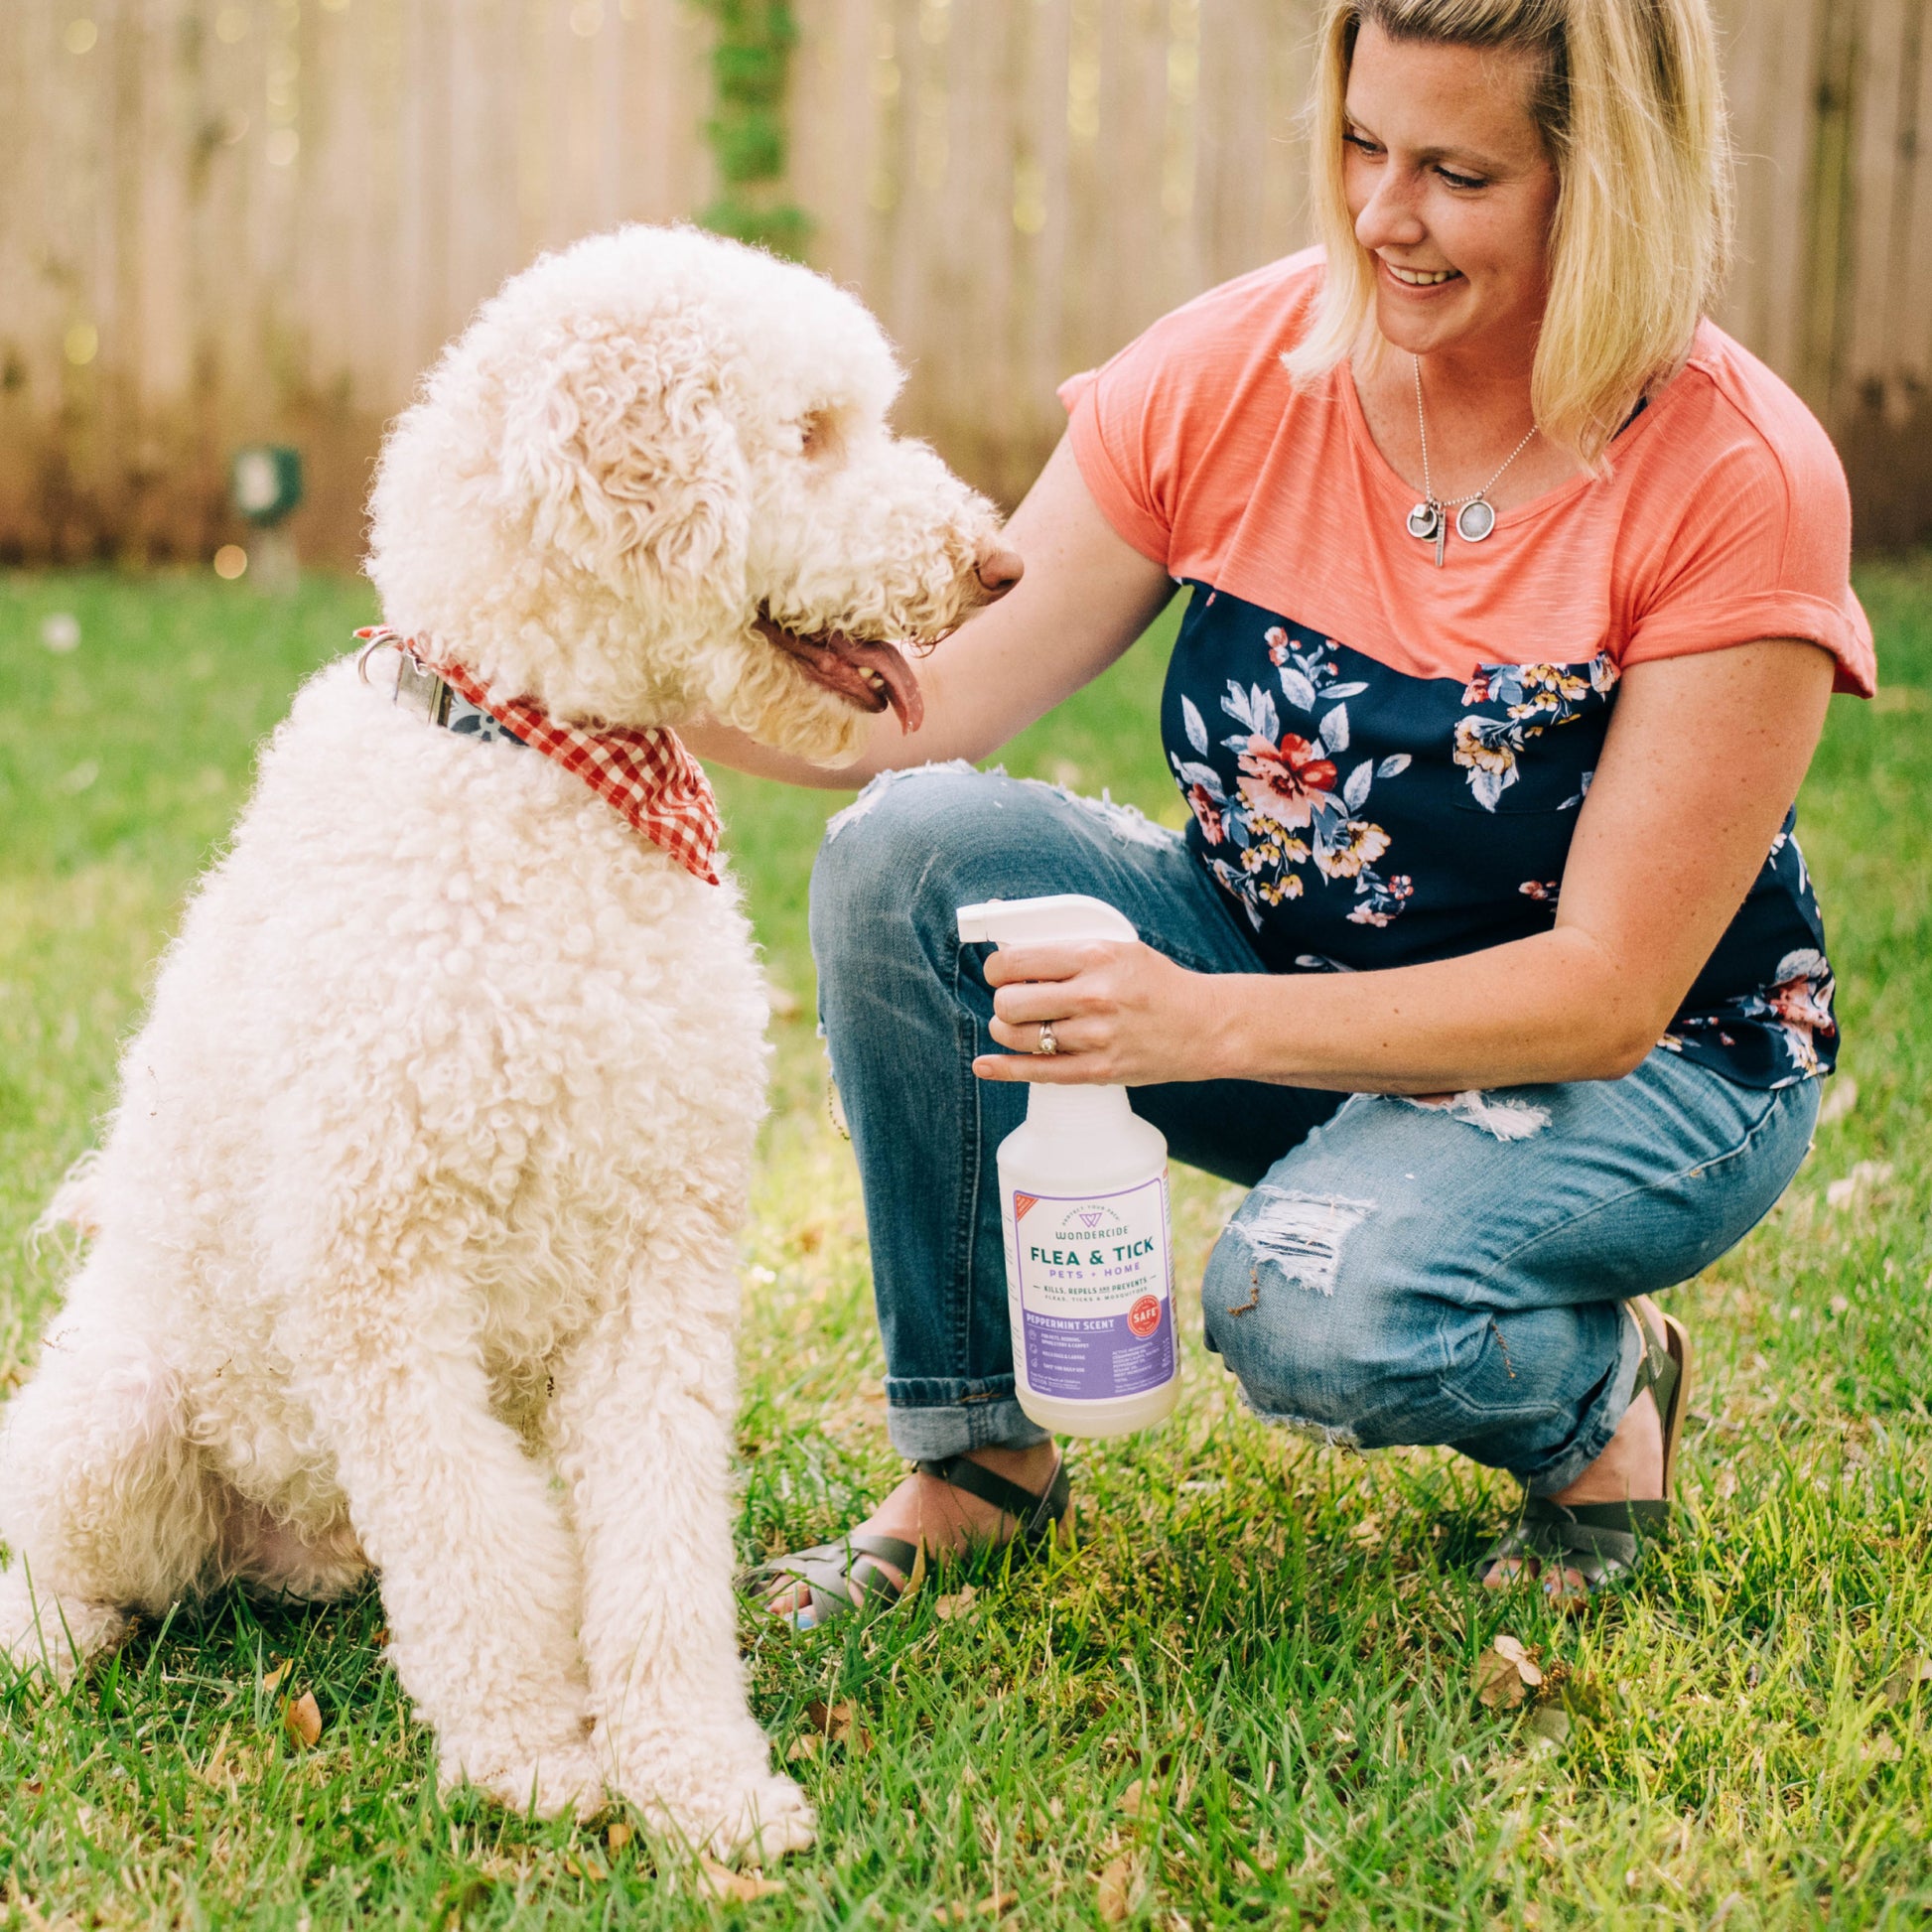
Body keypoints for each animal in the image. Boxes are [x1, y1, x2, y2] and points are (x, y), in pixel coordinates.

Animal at [3, 221, 1012, 1855]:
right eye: (806, 434)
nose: (997, 562)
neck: (546, 765)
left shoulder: (660, 1266)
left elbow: (654, 1546)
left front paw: (696, 1782)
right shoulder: (382, 1274)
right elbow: (471, 1540)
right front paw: (538, 1759)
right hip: (123, 1414)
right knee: (51, 1539)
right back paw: (46, 1635)